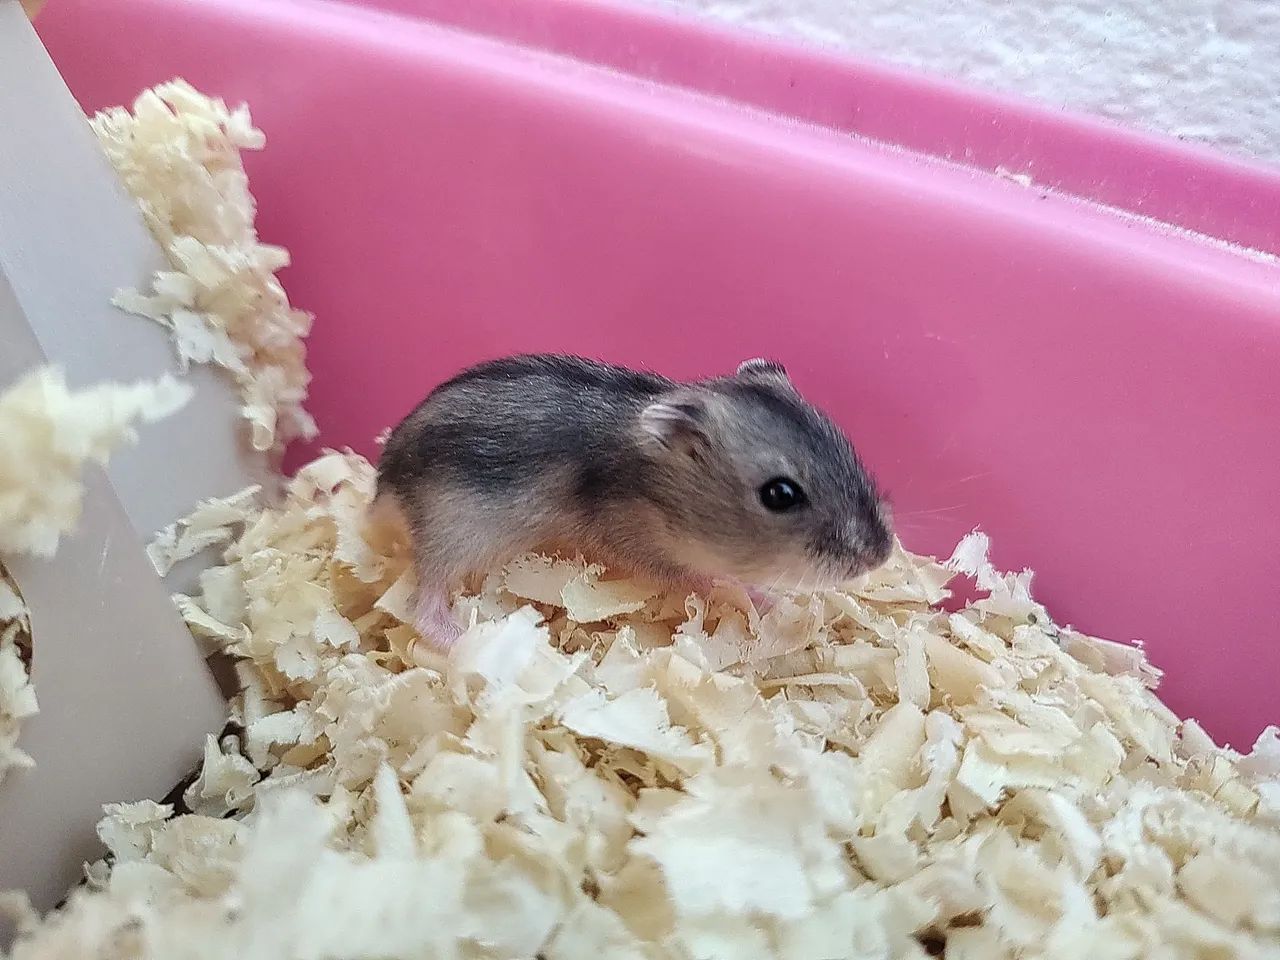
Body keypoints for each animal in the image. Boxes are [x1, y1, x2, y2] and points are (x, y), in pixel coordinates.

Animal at [374, 354, 892, 648]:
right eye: (779, 495)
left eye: (844, 442)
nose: (882, 555)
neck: (655, 491)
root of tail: (383, 482)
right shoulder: (638, 545)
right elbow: (712, 579)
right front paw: (768, 600)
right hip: (452, 531)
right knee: (426, 604)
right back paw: (465, 641)